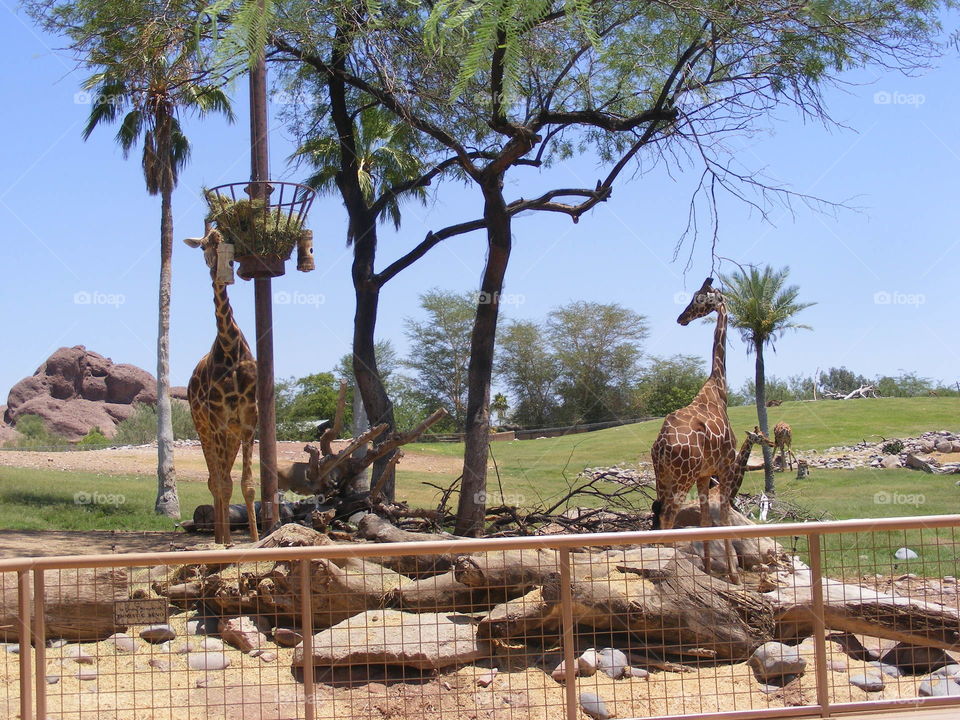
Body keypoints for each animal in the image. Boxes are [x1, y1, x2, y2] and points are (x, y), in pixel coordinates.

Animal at [651, 277, 740, 583]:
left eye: (699, 298)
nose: (682, 317)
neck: (719, 386)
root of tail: (661, 445)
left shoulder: (704, 475)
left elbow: (704, 520)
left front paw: (710, 568)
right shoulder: (726, 466)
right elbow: (724, 519)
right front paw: (734, 576)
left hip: (663, 476)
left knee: (658, 513)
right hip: (682, 477)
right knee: (667, 516)